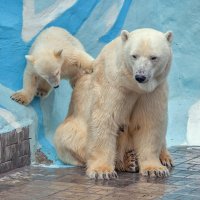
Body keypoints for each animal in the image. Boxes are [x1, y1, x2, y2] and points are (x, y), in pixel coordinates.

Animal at [54, 27, 173, 178]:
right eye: (134, 56)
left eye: (153, 57)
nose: (140, 76)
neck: (132, 85)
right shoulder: (112, 83)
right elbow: (105, 119)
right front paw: (102, 171)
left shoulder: (153, 90)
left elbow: (149, 122)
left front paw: (155, 169)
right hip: (73, 130)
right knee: (68, 137)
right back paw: (129, 161)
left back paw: (164, 158)